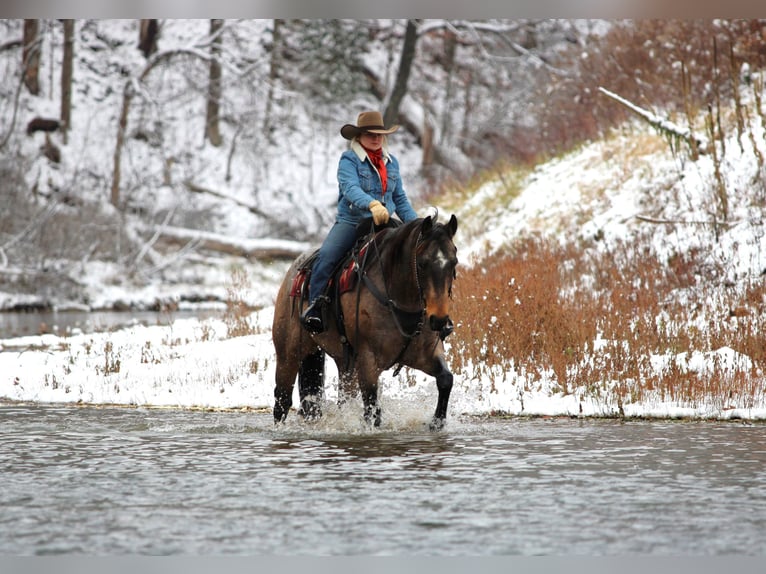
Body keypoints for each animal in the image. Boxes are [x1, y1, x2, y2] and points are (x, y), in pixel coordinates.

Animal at [271, 213, 458, 429]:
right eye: (421, 263)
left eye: (454, 262)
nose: (439, 319)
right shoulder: (368, 360)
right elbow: (372, 407)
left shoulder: (426, 353)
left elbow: (446, 379)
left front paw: (436, 423)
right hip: (288, 354)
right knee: (282, 399)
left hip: (345, 364)